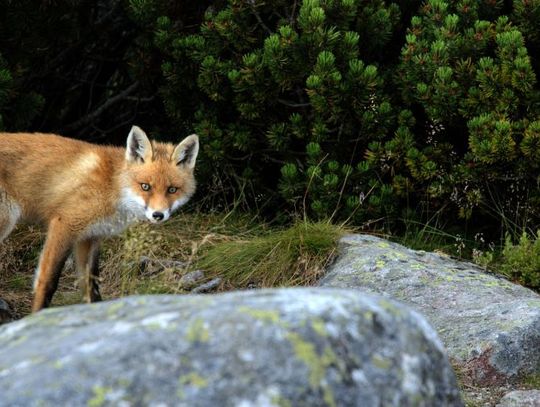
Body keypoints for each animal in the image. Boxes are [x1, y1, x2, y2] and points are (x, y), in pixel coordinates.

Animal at [0, 126, 198, 312]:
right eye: (145, 186)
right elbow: (47, 282)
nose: (158, 215)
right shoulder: (64, 224)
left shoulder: (90, 237)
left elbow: (91, 287)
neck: (112, 186)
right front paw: (37, 315)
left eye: (172, 189)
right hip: (6, 221)